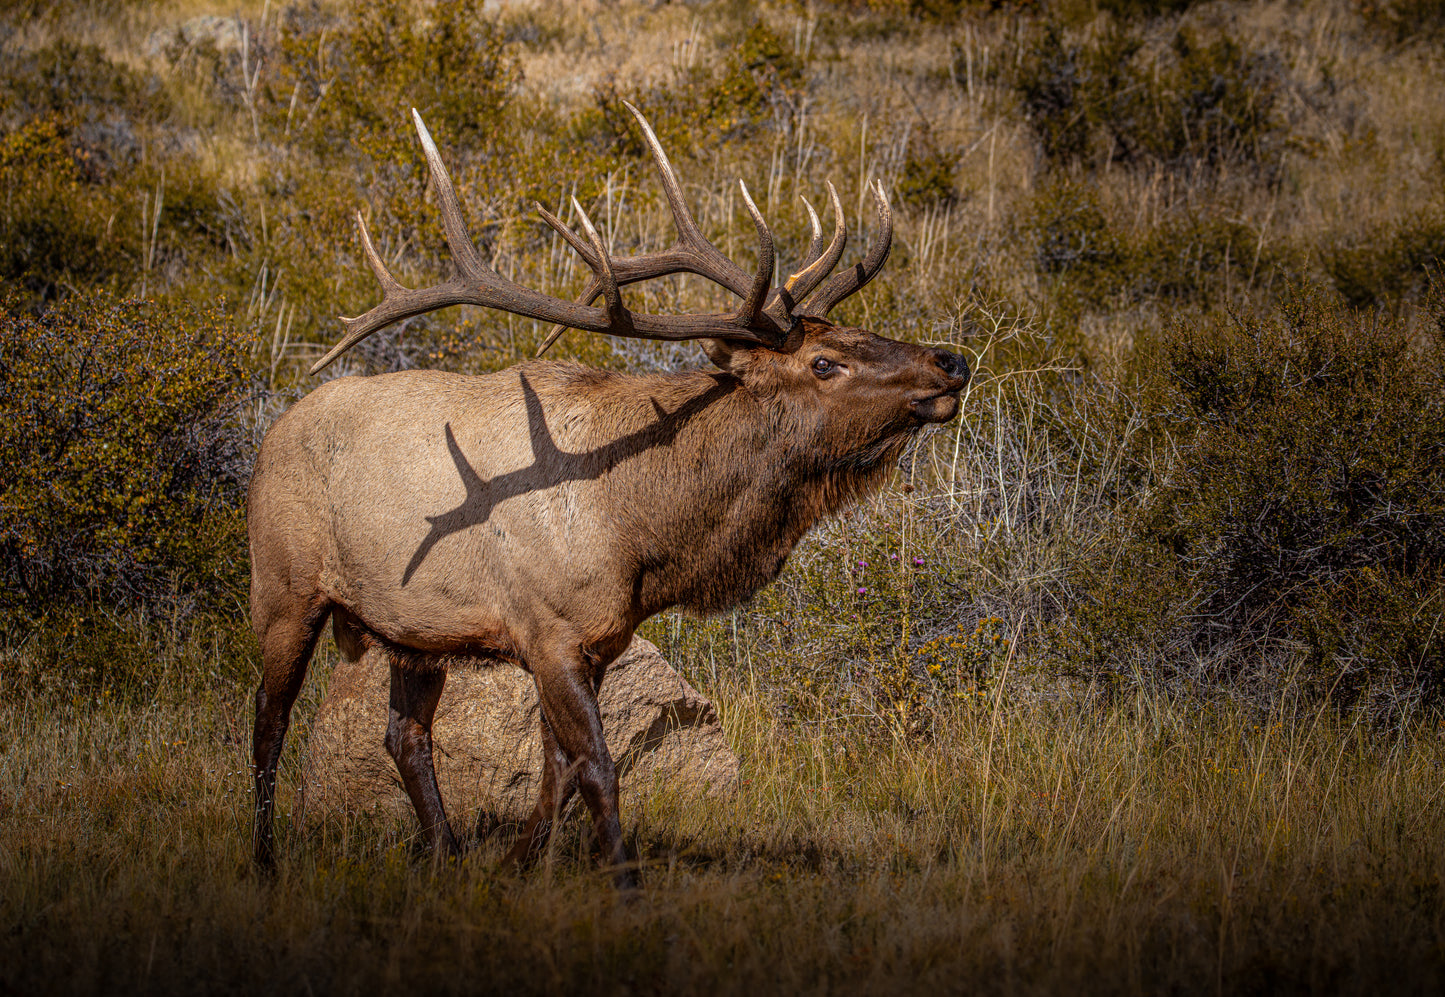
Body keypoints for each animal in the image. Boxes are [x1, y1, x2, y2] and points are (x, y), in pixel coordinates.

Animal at [248, 102, 969, 885]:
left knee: (404, 734)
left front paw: (518, 864)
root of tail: (274, 429)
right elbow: (597, 766)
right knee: (268, 720)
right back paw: (265, 861)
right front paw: (621, 879)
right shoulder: (549, 630)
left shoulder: (596, 640)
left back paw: (445, 854)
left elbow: (558, 770)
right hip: (283, 587)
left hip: (415, 631)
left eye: (852, 331)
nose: (950, 362)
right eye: (823, 362)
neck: (640, 534)